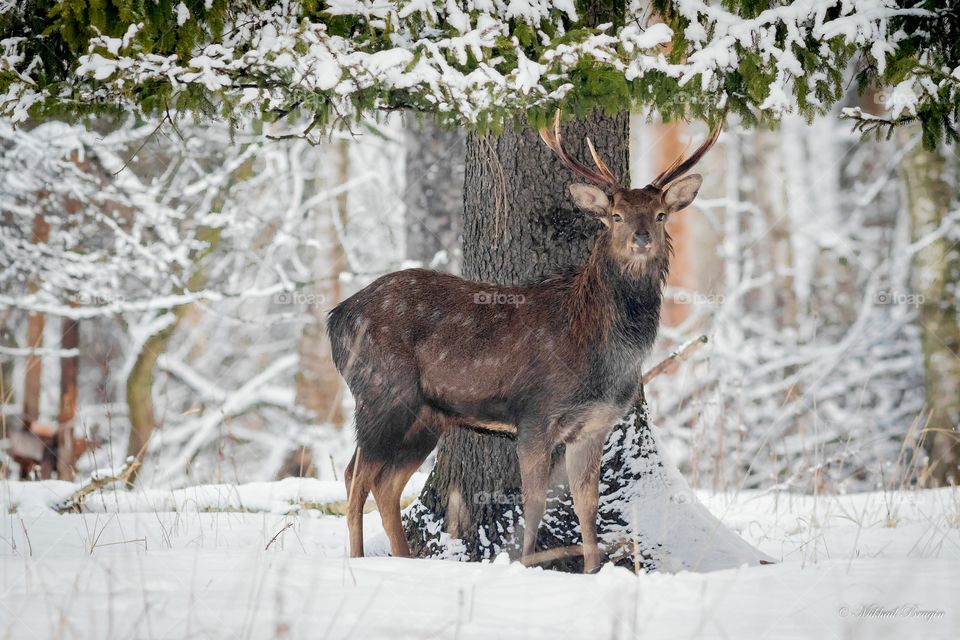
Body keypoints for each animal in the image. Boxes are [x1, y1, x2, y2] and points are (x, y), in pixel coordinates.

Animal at [327, 112, 721, 572]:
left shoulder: (593, 425)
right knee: (356, 476)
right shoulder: (535, 415)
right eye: (616, 215)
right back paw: (358, 561)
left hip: (426, 416)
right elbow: (533, 504)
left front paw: (593, 570)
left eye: (659, 214)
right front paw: (525, 565)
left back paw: (404, 560)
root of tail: (336, 317)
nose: (642, 237)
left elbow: (587, 505)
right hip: (380, 392)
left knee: (385, 484)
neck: (599, 350)